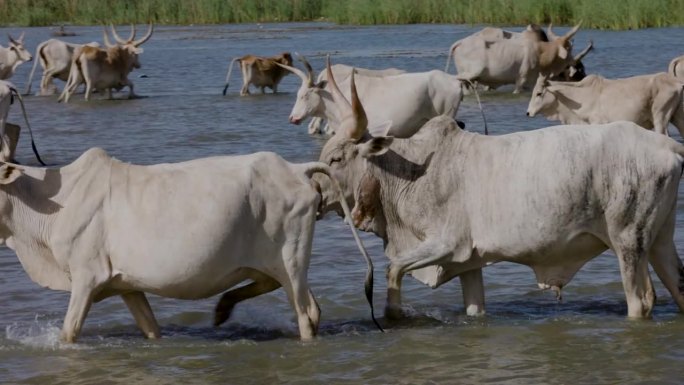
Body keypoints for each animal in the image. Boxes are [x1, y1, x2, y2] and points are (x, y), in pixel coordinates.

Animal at [0, 148, 374, 342]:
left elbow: (68, 333)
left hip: (291, 259)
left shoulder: (85, 278)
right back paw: (222, 308)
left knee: (307, 312)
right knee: (273, 286)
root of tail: (296, 169)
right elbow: (151, 329)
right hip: (272, 262)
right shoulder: (126, 285)